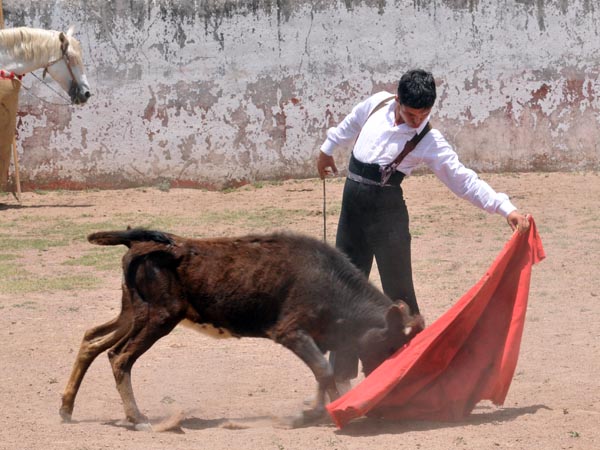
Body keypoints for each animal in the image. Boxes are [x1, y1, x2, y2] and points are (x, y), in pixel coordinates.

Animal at [59, 230, 422, 428]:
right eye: (392, 345)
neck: (331, 283)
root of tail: (140, 244)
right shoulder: (290, 332)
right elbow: (324, 369)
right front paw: (322, 413)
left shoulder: (317, 339)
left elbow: (323, 373)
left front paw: (321, 410)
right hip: (157, 317)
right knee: (119, 356)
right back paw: (138, 418)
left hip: (132, 314)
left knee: (92, 341)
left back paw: (66, 408)